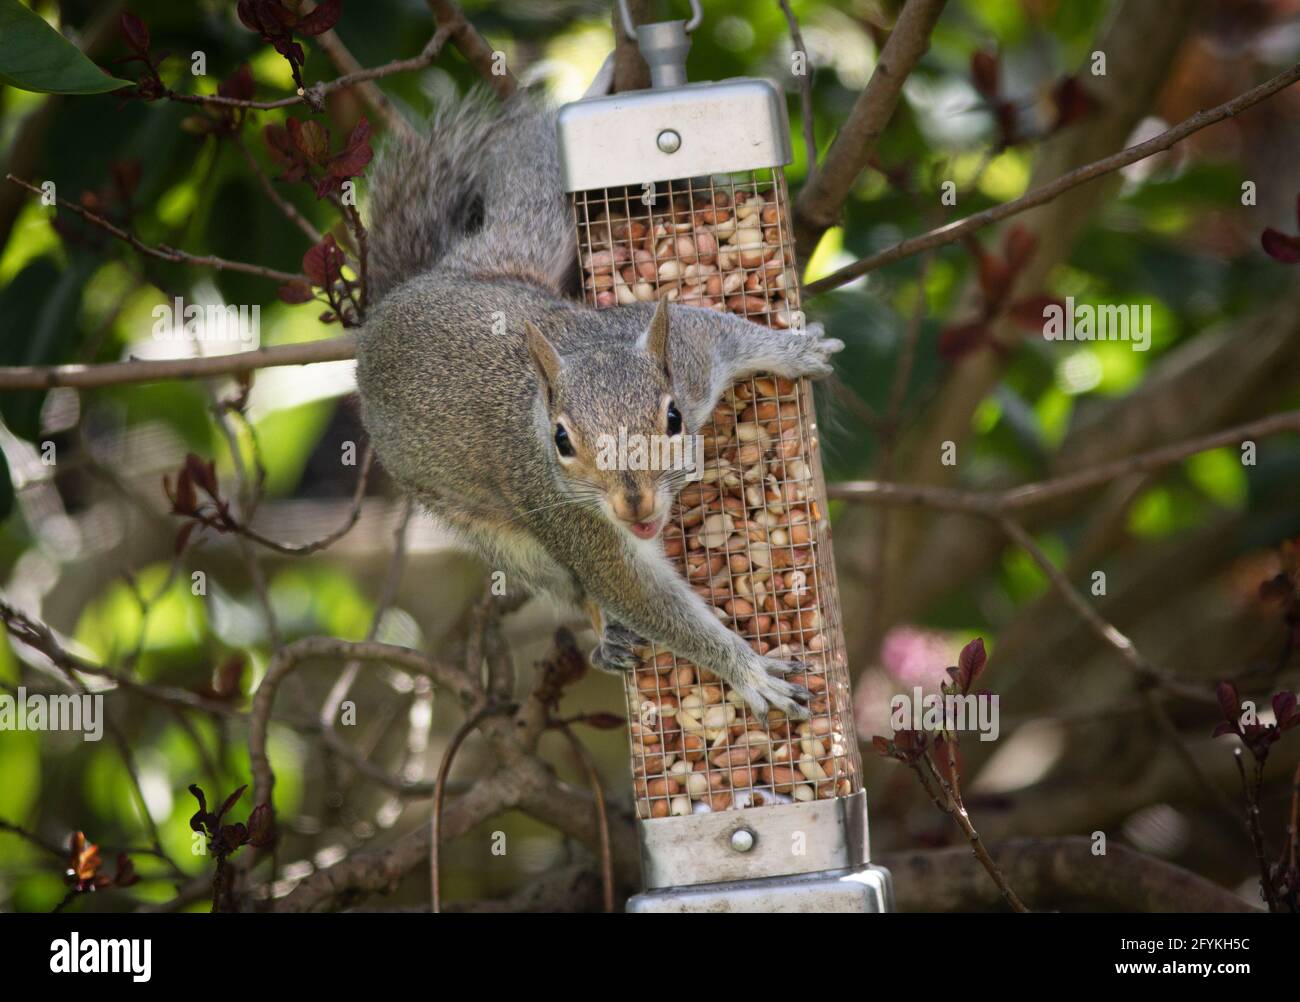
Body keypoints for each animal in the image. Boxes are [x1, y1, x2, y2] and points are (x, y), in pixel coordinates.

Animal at [356, 90, 844, 721]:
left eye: (673, 419)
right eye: (562, 442)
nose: (635, 507)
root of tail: (405, 297)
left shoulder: (687, 354)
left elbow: (726, 333)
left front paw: (797, 350)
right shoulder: (572, 518)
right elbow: (638, 595)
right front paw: (749, 670)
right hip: (493, 531)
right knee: (568, 585)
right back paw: (606, 634)